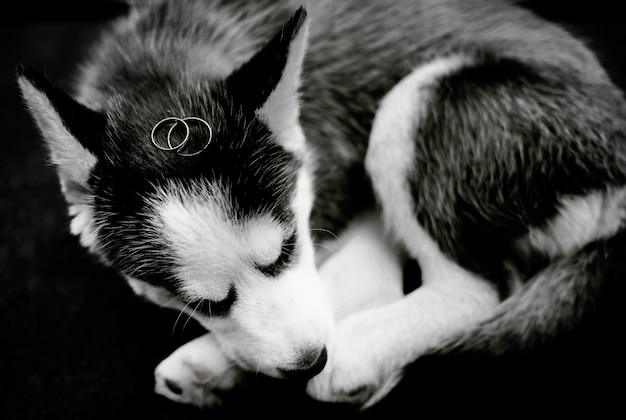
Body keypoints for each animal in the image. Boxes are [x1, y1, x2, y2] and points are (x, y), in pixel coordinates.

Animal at [17, 0, 624, 414]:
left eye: (285, 247)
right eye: (205, 304)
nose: (311, 362)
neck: (161, 63)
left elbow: (336, 282)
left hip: (419, 98)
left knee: (477, 290)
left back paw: (361, 348)